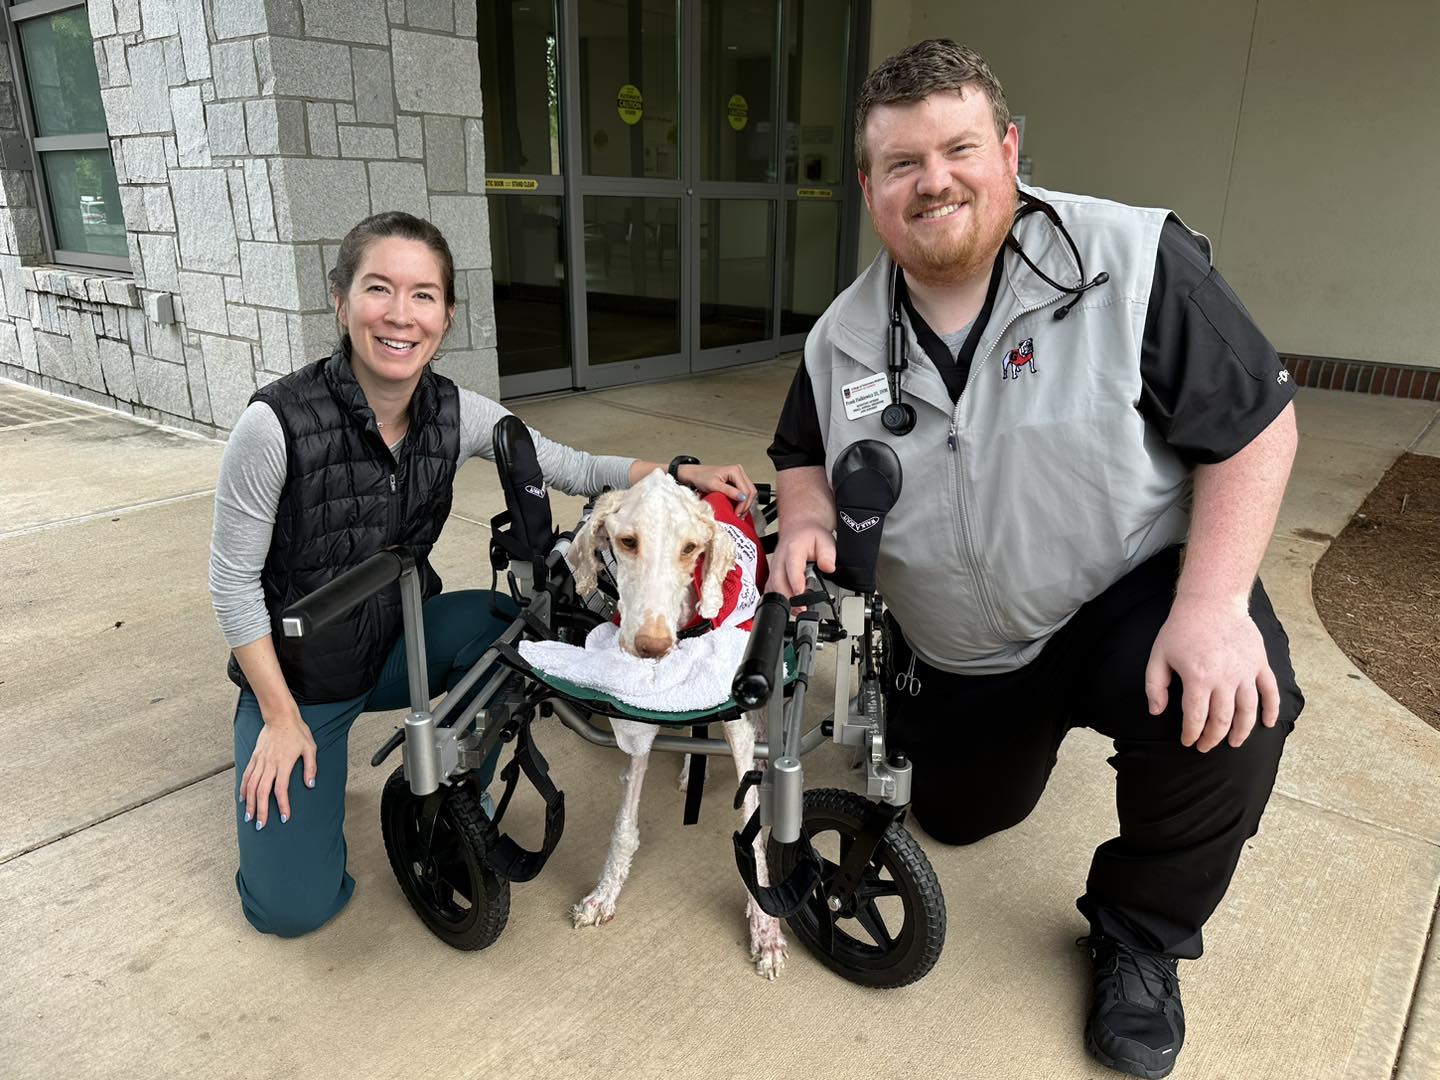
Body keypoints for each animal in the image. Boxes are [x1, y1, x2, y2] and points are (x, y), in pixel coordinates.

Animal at [564, 472, 789, 979]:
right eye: (627, 541)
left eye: (690, 548)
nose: (652, 645)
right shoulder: (638, 718)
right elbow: (625, 824)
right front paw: (605, 894)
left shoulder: (735, 716)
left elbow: (752, 835)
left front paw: (765, 930)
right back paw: (690, 768)